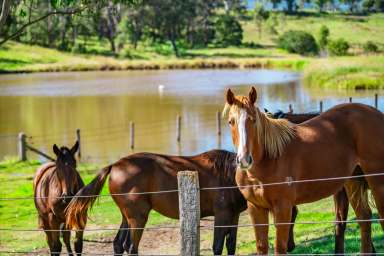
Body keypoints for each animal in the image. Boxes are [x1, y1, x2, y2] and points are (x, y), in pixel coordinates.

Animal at [222, 87, 384, 254]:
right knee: (364, 218)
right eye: (230, 121)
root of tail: (377, 114)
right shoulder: (256, 208)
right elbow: (261, 247)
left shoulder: (283, 207)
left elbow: (280, 248)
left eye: (253, 120)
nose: (244, 159)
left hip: (377, 183)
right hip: (353, 182)